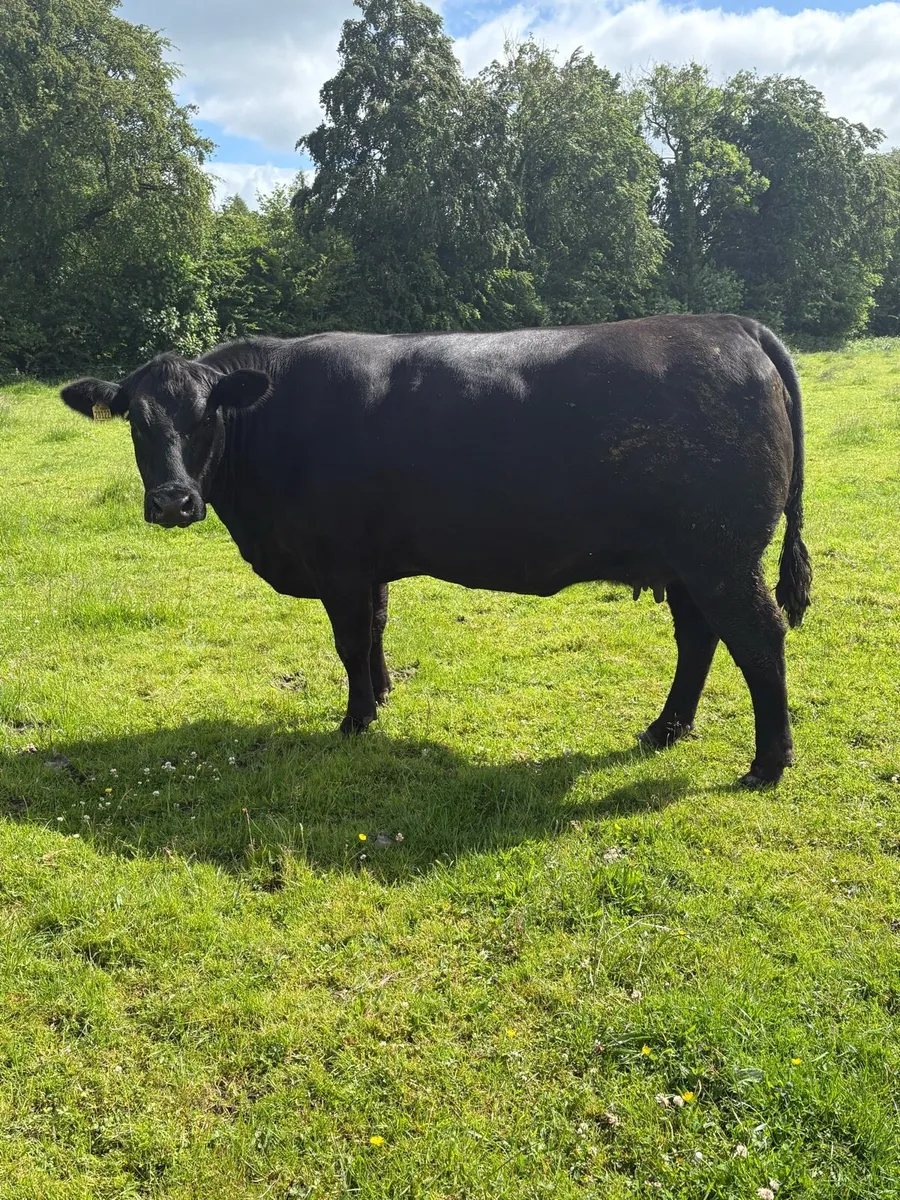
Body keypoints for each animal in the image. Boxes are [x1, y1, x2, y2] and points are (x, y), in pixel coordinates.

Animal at [61, 314, 812, 786]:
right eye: (135, 419)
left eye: (206, 415)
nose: (173, 502)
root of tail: (731, 325)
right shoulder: (369, 562)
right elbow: (376, 630)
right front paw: (384, 695)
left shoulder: (339, 562)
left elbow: (349, 640)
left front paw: (357, 719)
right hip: (686, 562)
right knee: (699, 639)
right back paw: (666, 729)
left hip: (719, 556)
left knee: (758, 639)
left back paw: (767, 764)